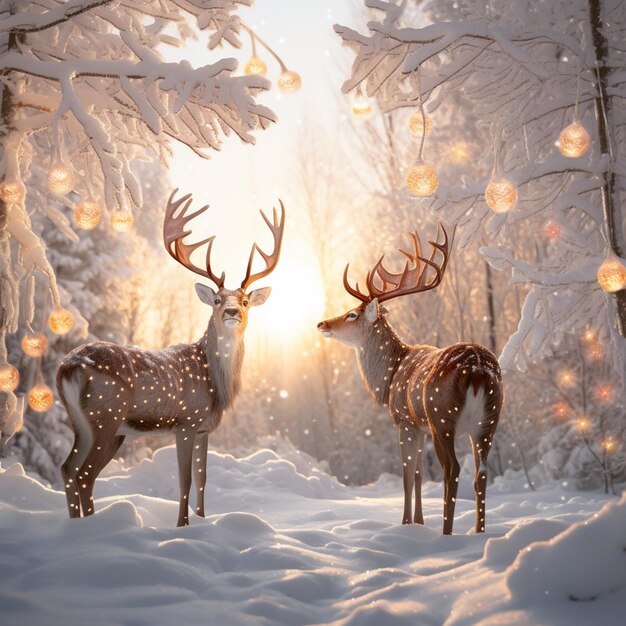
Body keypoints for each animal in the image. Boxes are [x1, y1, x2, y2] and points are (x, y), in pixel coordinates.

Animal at [56, 190, 286, 528]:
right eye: (217, 299)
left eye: (245, 300)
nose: (232, 311)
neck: (215, 383)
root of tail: (67, 367)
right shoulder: (186, 422)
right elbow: (185, 480)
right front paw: (182, 526)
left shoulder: (204, 428)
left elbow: (203, 479)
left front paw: (202, 521)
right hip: (105, 417)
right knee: (84, 474)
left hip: (84, 424)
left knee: (68, 469)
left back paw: (77, 525)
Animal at [316, 224, 502, 532]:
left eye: (352, 314)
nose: (322, 323)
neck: (390, 376)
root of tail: (477, 370)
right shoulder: (420, 426)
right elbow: (418, 473)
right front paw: (419, 522)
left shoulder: (404, 419)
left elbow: (406, 474)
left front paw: (405, 524)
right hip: (489, 421)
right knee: (482, 473)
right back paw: (479, 531)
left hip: (443, 416)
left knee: (452, 470)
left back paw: (447, 532)